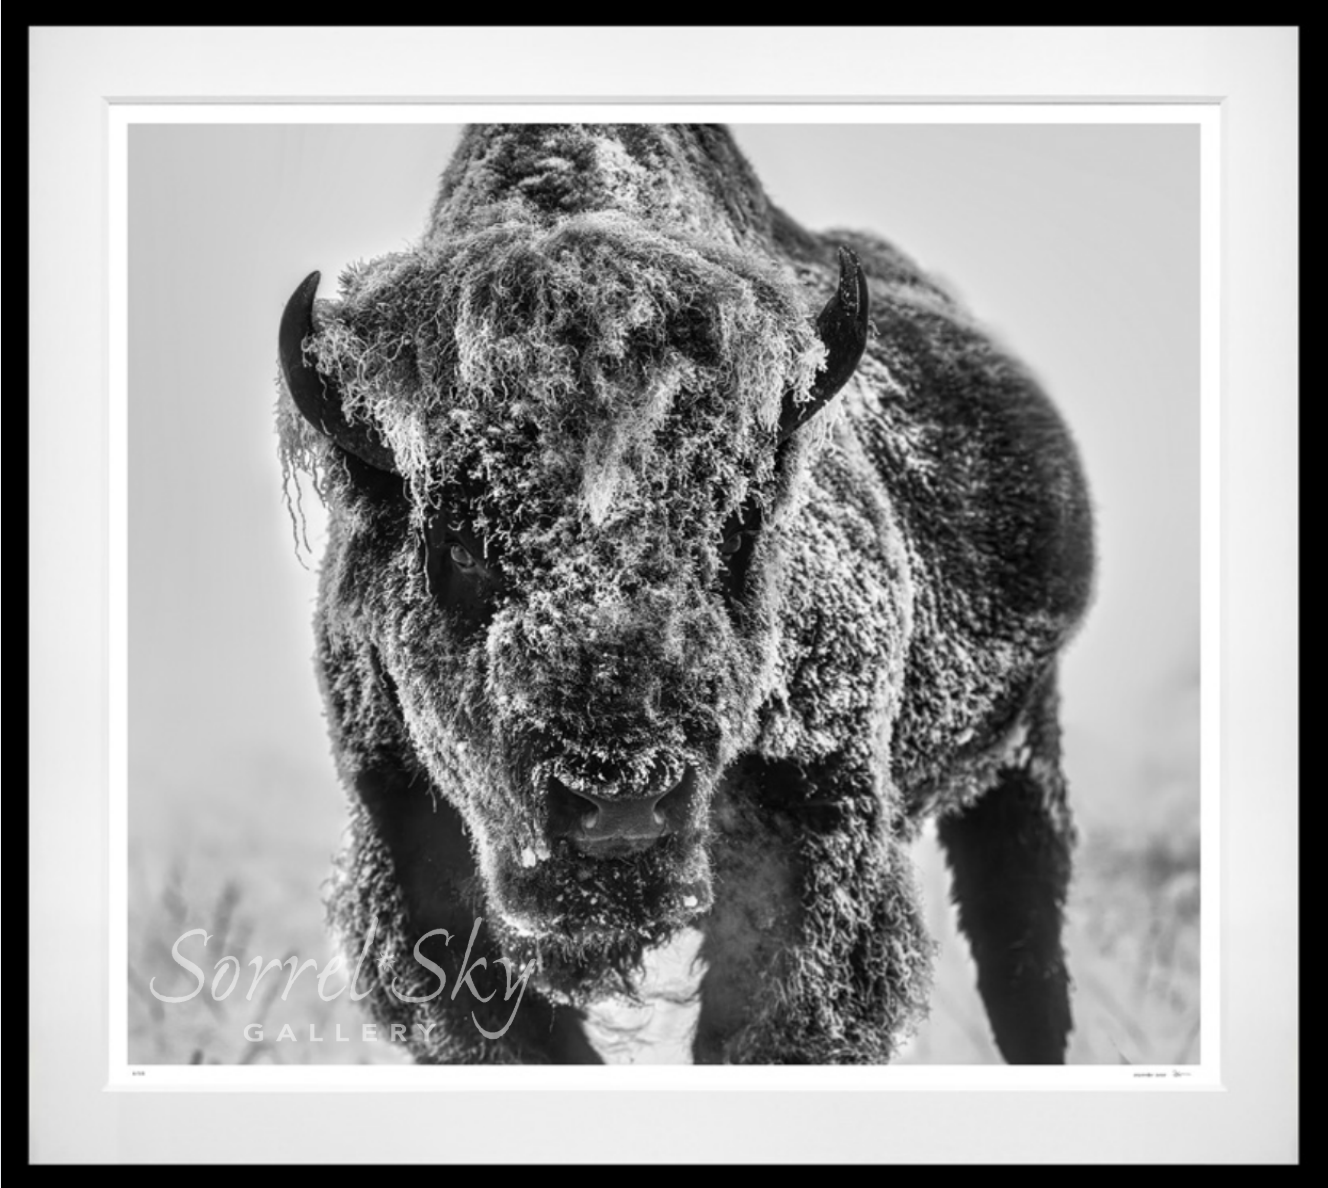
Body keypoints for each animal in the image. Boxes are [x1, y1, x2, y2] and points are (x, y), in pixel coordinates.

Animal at [277, 123, 1088, 1067]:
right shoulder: (413, 859)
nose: (619, 804)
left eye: (735, 522)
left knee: (1023, 958)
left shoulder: (821, 844)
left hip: (1021, 758)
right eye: (458, 539)